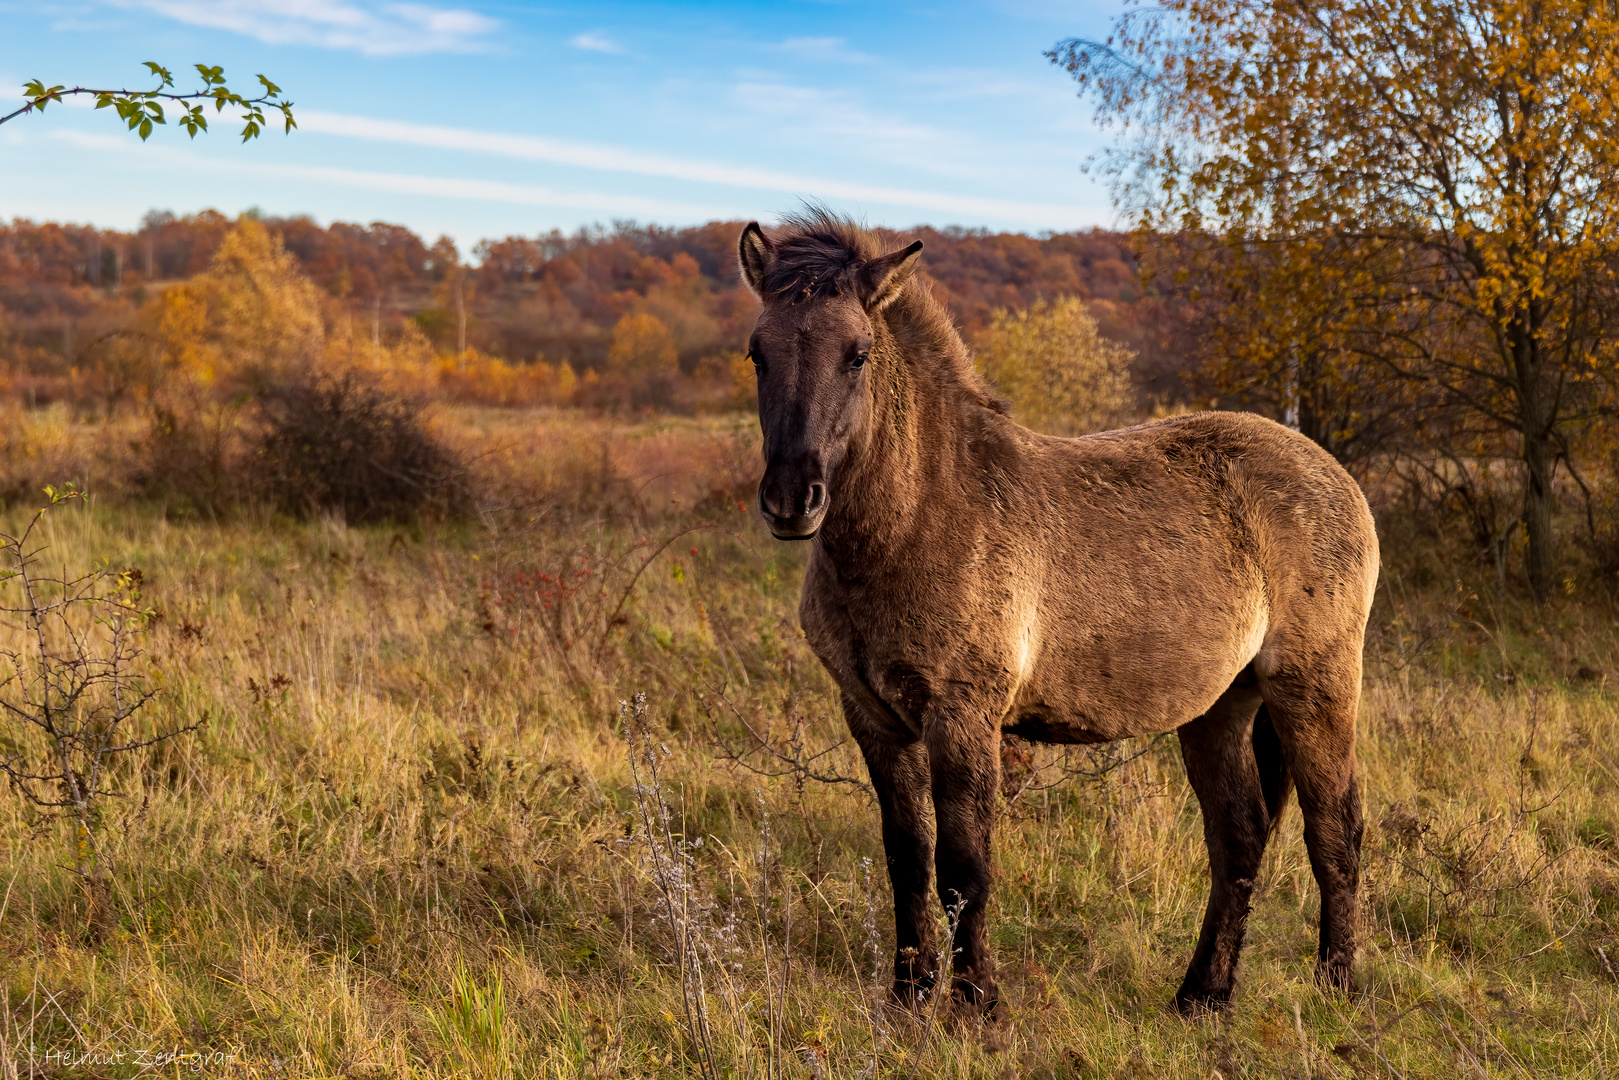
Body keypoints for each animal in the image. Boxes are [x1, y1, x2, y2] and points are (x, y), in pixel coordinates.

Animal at [738, 208, 1379, 1016]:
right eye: (757, 354)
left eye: (857, 355)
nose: (792, 501)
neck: (920, 517)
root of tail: (1329, 471)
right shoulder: (874, 719)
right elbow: (906, 859)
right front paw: (909, 995)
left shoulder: (963, 717)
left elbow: (964, 868)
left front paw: (975, 1004)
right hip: (1221, 706)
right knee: (1239, 835)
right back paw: (1200, 996)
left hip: (1313, 688)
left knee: (1335, 830)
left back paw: (1337, 989)